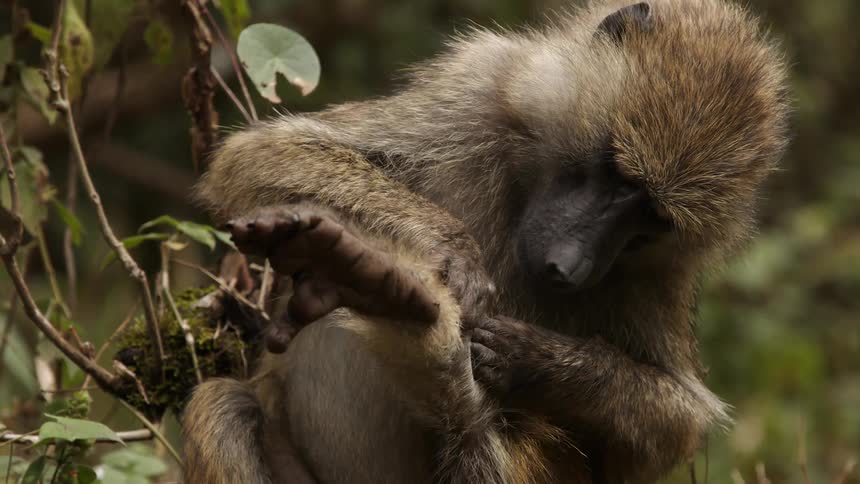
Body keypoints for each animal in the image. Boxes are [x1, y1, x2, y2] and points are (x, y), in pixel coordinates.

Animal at [182, 0, 790, 482]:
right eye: (617, 172)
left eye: (651, 218)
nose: (567, 267)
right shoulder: (475, 86)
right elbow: (258, 157)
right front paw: (457, 252)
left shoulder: (663, 273)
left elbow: (673, 427)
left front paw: (538, 362)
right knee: (224, 405)